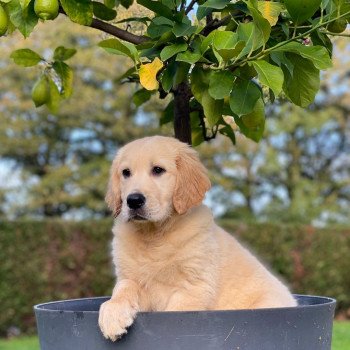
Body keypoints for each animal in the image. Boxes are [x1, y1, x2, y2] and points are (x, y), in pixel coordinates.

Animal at [98, 135, 296, 340]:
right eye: (126, 173)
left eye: (158, 170)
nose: (133, 200)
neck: (155, 235)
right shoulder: (131, 278)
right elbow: (123, 287)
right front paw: (112, 314)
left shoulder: (194, 287)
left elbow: (175, 314)